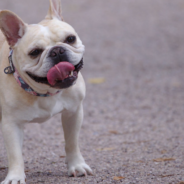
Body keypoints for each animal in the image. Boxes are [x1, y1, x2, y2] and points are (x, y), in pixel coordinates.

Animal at [0, 0, 92, 183]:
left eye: (70, 39)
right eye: (35, 52)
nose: (57, 51)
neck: (45, 92)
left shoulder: (74, 112)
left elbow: (72, 142)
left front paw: (76, 166)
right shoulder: (10, 124)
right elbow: (15, 154)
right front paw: (15, 177)